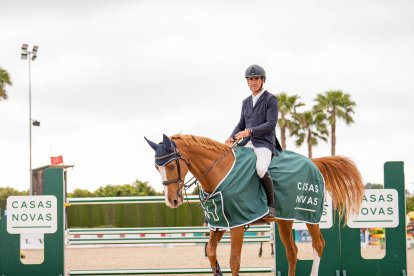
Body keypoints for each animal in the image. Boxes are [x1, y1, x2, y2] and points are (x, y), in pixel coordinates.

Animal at [144, 134, 364, 276]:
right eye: (156, 167)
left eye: (171, 165)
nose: (172, 201)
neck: (219, 173)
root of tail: (312, 162)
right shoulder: (219, 224)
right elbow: (212, 254)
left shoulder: (237, 224)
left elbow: (234, 261)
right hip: (285, 219)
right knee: (292, 252)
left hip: (310, 216)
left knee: (318, 245)